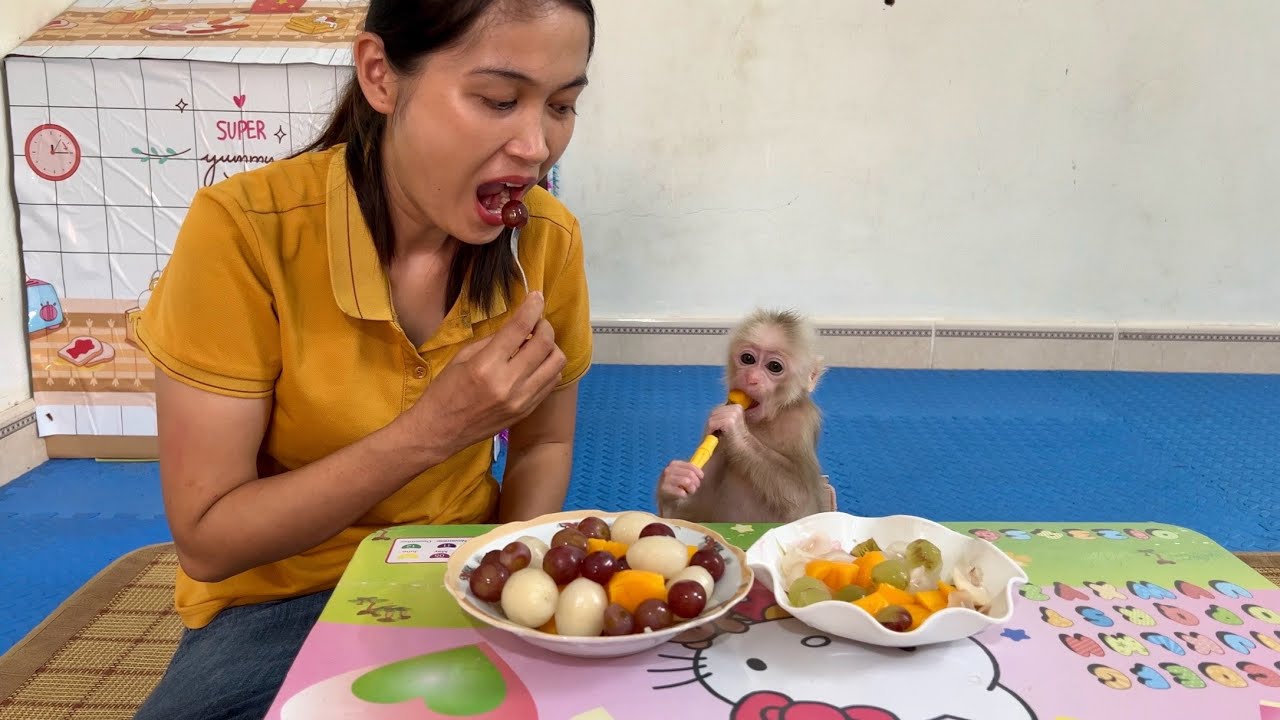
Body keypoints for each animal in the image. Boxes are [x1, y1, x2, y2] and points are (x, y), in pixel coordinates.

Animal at [660, 308, 829, 520]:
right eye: (748, 359)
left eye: (774, 367)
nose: (751, 378)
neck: (765, 420)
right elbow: (693, 513)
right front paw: (673, 481)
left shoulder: (801, 423)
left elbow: (805, 506)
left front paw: (736, 428)